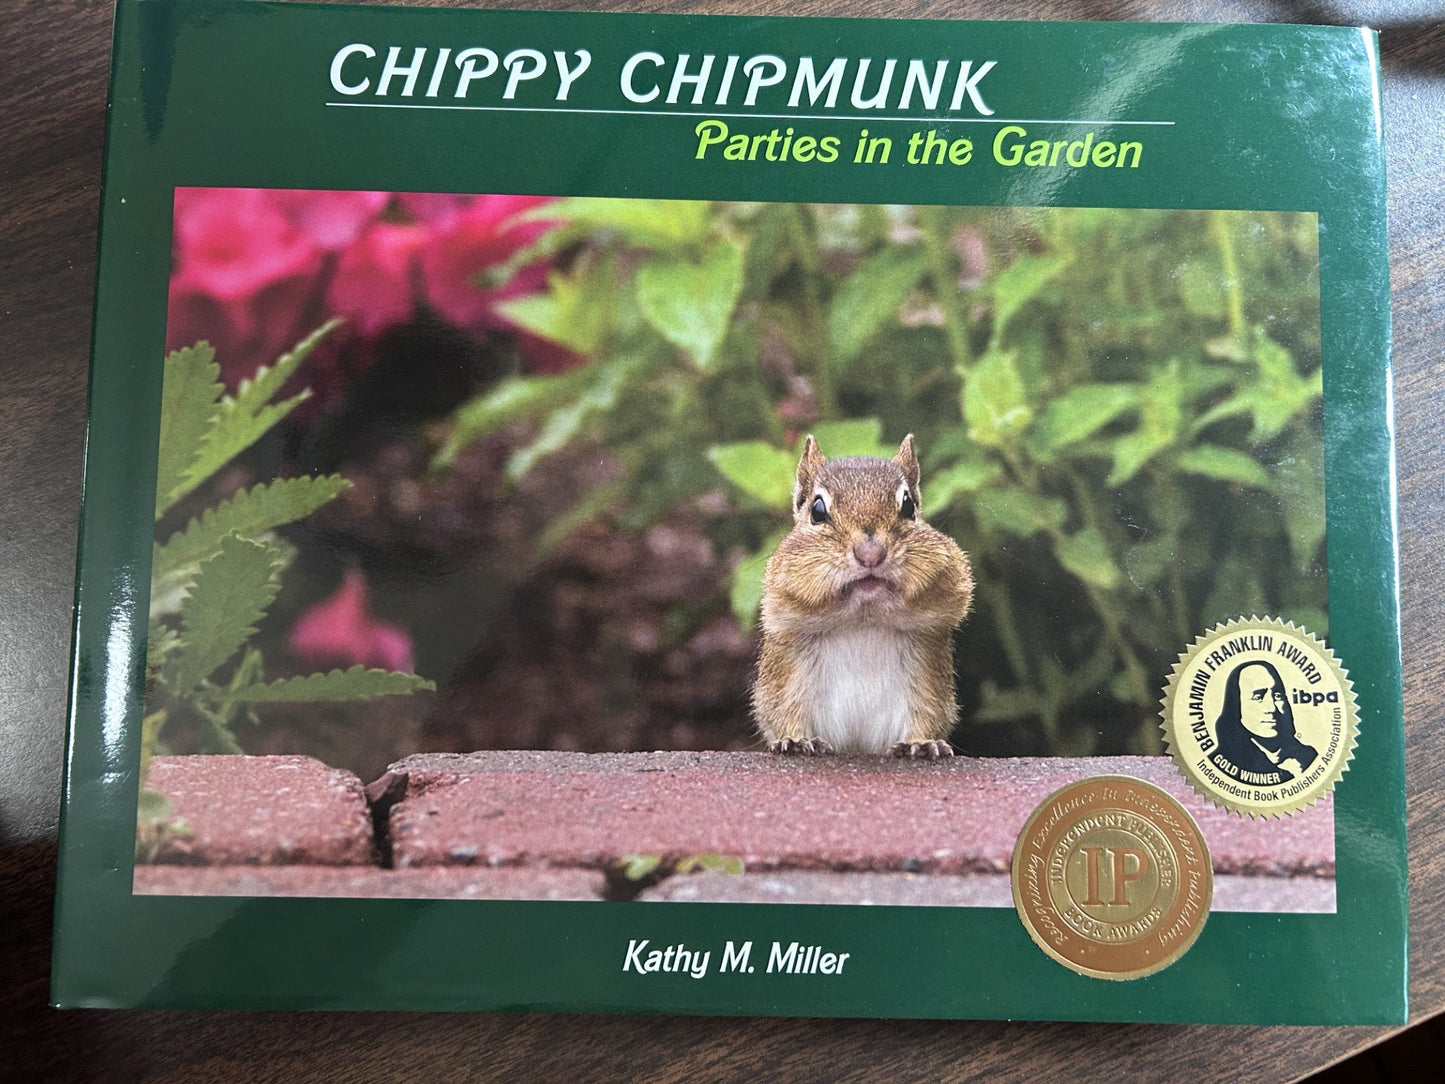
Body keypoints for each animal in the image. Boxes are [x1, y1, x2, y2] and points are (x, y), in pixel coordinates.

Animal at [752, 434, 974, 758]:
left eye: (908, 506)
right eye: (817, 511)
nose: (871, 554)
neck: (863, 620)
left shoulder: (928, 683)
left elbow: (928, 715)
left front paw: (921, 743)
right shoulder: (786, 675)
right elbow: (781, 712)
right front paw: (794, 740)